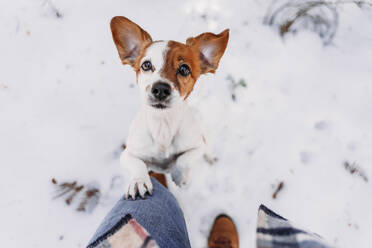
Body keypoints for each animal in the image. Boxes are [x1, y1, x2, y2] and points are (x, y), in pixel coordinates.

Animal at [109, 16, 228, 200]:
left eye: (184, 69)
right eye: (146, 65)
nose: (160, 89)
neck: (163, 126)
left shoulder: (196, 147)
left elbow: (184, 159)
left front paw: (179, 175)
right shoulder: (127, 154)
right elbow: (137, 164)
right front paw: (139, 181)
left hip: (205, 134)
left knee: (207, 148)